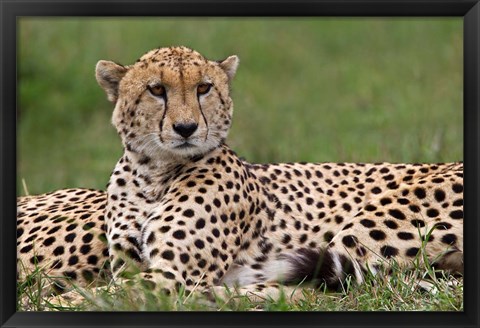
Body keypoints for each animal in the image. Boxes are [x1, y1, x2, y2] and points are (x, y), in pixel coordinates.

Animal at [16, 46, 464, 302]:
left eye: (204, 88)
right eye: (157, 89)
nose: (186, 128)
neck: (154, 173)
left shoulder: (171, 272)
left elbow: (100, 295)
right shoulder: (132, 263)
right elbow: (113, 286)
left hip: (366, 226)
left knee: (327, 287)